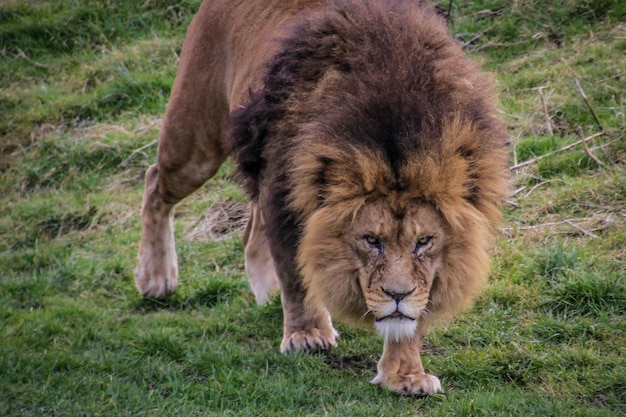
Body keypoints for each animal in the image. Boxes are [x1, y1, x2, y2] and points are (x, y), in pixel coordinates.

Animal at [134, 0, 510, 394]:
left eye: (424, 242)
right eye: (370, 240)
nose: (397, 295)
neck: (396, 130)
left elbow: (412, 315)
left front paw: (405, 373)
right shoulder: (285, 195)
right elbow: (295, 271)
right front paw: (307, 334)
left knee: (251, 230)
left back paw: (266, 292)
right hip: (196, 140)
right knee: (154, 183)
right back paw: (156, 279)